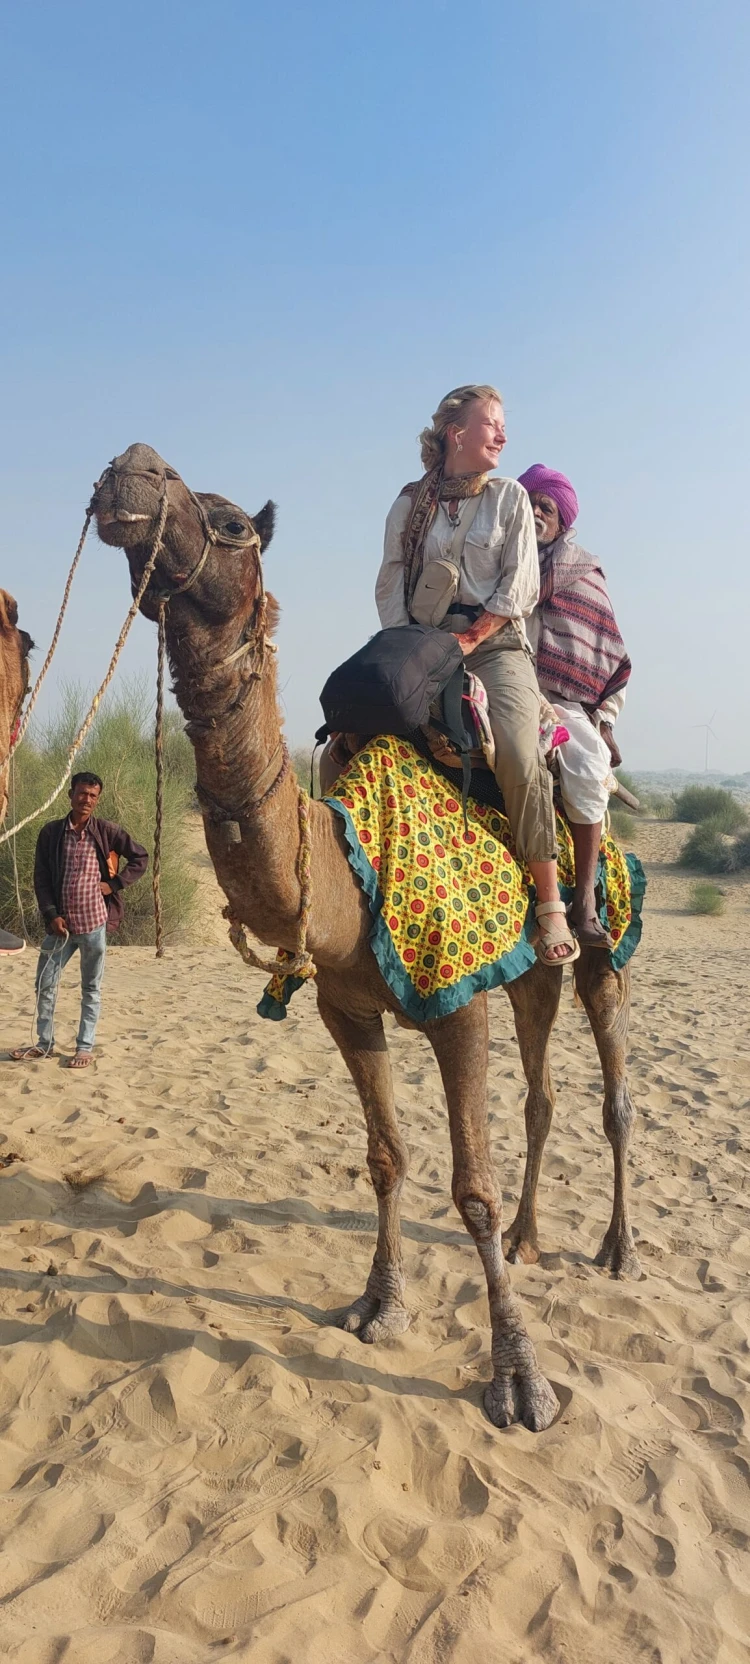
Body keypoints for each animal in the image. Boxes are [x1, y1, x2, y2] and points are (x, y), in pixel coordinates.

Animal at [89, 442, 638, 1431]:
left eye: (231, 522)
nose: (131, 469)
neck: (345, 866)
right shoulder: (346, 1009)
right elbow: (386, 1158)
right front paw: (379, 1306)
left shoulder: (457, 1005)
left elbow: (470, 1189)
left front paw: (520, 1381)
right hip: (533, 978)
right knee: (541, 1095)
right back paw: (533, 1238)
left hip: (602, 945)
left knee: (612, 1090)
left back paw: (618, 1248)